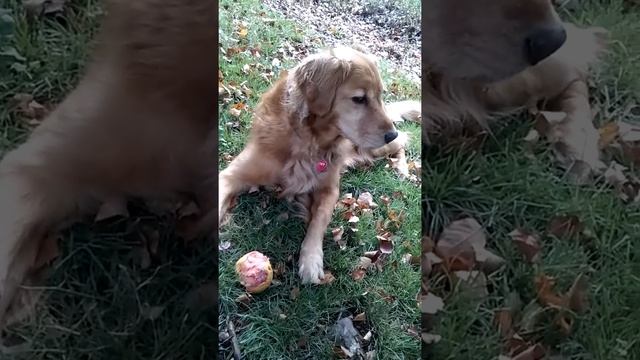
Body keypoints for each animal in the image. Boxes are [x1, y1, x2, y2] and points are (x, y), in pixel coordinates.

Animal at [220, 45, 420, 284]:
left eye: (380, 95)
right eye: (359, 99)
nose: (390, 133)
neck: (308, 140)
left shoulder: (329, 189)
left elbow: (318, 221)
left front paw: (311, 260)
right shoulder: (231, 175)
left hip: (375, 147)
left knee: (403, 141)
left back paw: (402, 168)